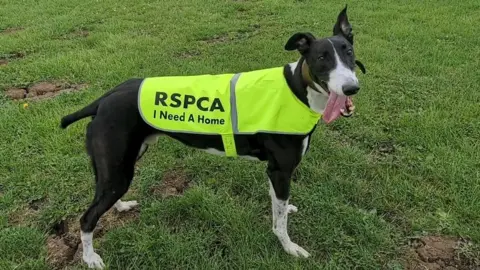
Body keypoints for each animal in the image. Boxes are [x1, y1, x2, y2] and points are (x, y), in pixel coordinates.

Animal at [62, 6, 366, 270]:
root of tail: (103, 100)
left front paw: (284, 210)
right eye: (322, 58)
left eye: (349, 52)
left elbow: (277, 205)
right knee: (87, 218)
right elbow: (279, 223)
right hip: (118, 170)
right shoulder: (281, 170)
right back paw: (90, 258)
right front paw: (289, 247)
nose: (351, 88)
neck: (298, 88)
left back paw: (121, 206)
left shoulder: (273, 172)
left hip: (117, 166)